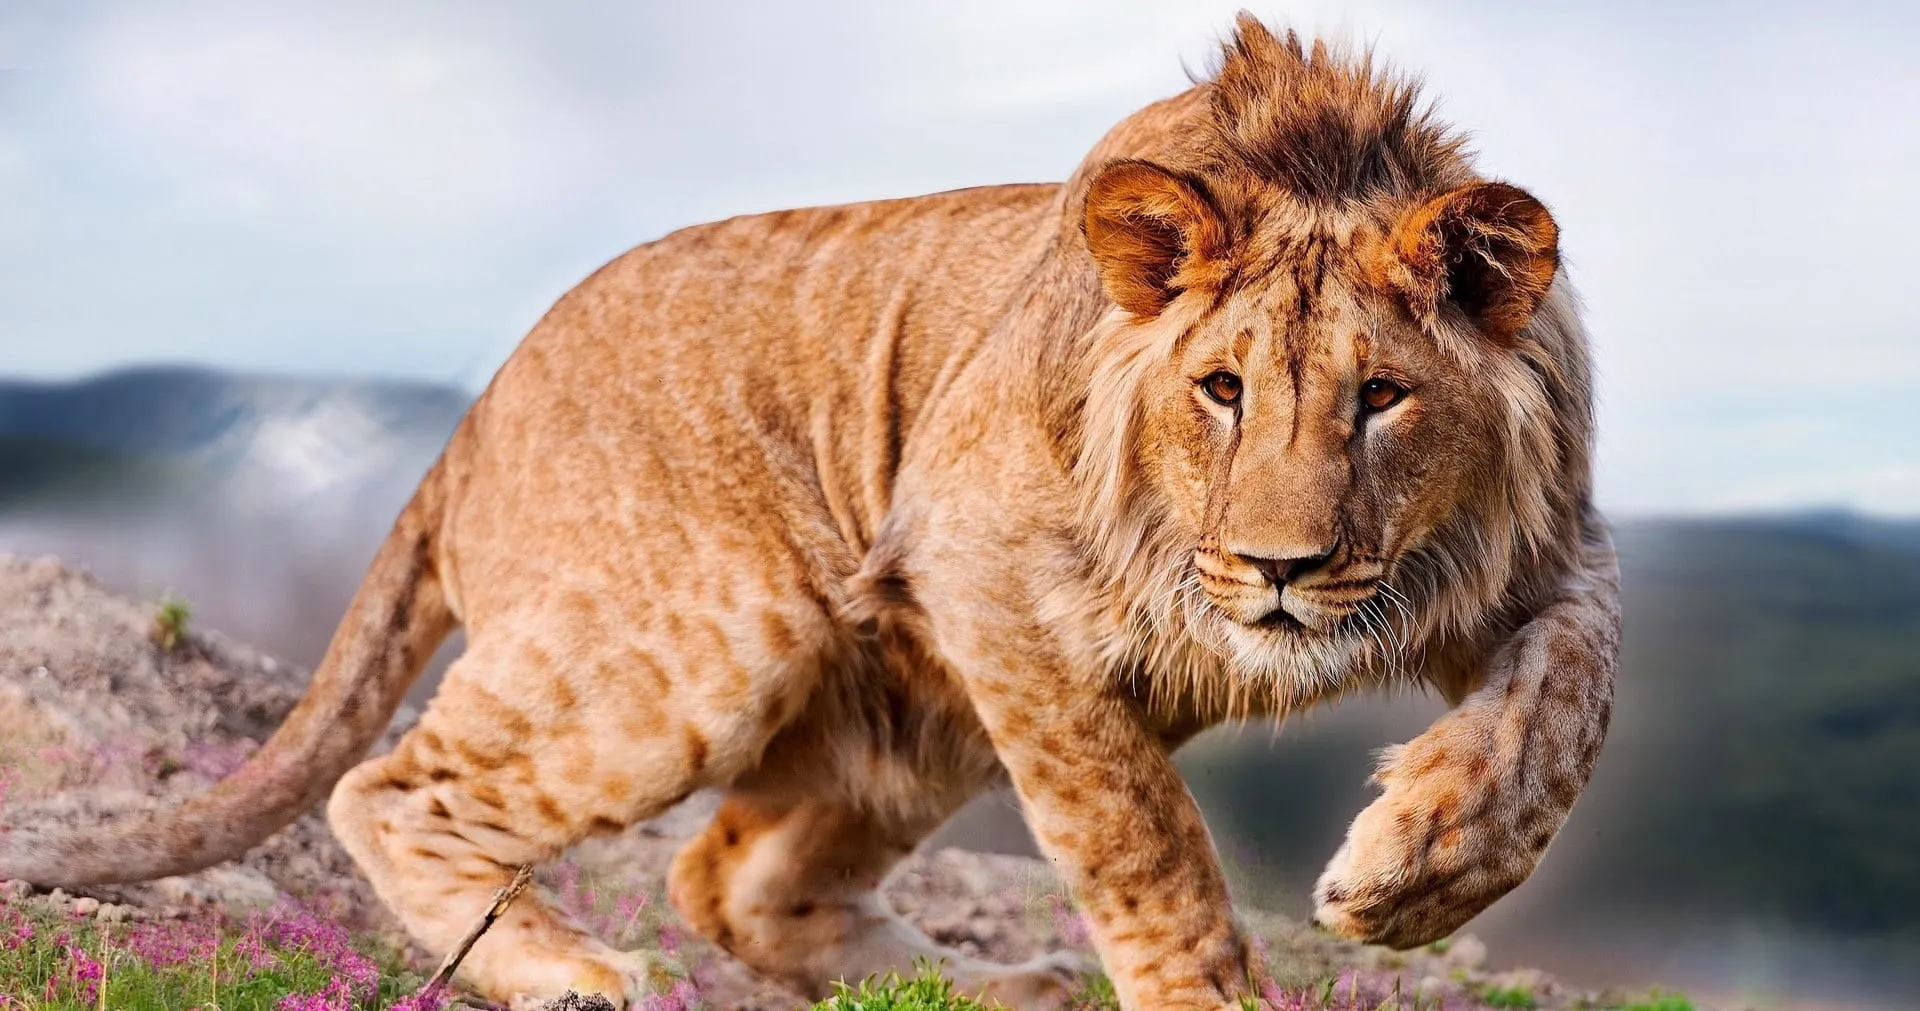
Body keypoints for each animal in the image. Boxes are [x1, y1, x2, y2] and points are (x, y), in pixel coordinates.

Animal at [0, 16, 1618, 1010]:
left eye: (1382, 397)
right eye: (1221, 389)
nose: (1284, 569)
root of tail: (475, 415)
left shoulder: (1542, 546)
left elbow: (1566, 709)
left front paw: (1415, 873)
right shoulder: (985, 564)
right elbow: (1139, 832)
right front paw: (1203, 987)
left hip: (912, 712)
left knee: (734, 879)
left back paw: (993, 985)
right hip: (726, 632)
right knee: (393, 789)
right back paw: (570, 971)